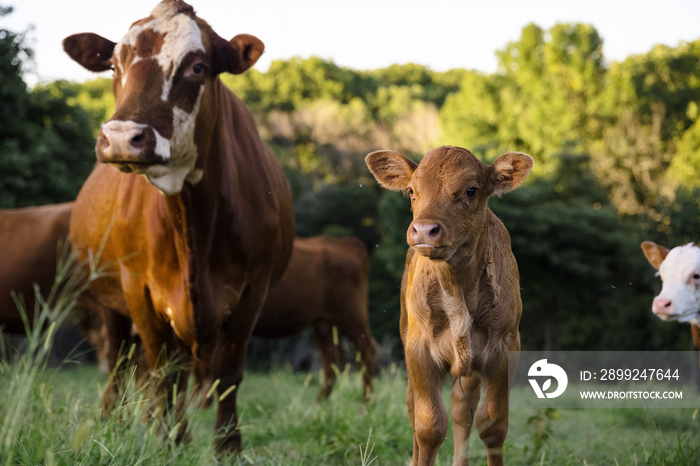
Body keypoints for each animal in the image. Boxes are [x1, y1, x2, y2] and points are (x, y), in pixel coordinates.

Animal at [63, 0, 296, 452]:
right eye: (114, 65)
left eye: (197, 67)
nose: (122, 138)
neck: (193, 222)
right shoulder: (137, 286)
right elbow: (161, 371)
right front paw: (164, 441)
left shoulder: (253, 289)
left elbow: (228, 373)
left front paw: (226, 445)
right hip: (107, 298)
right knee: (120, 363)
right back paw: (118, 422)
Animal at [254, 235, 380, 402]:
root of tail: (346, 242)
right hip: (323, 322)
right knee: (333, 356)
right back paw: (321, 404)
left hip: (351, 315)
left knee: (365, 350)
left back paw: (366, 404)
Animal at [366, 146, 532, 466]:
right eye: (411, 191)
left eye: (471, 190)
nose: (423, 230)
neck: (456, 289)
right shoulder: (418, 350)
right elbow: (429, 426)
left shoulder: (505, 348)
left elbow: (492, 424)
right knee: (413, 406)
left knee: (461, 410)